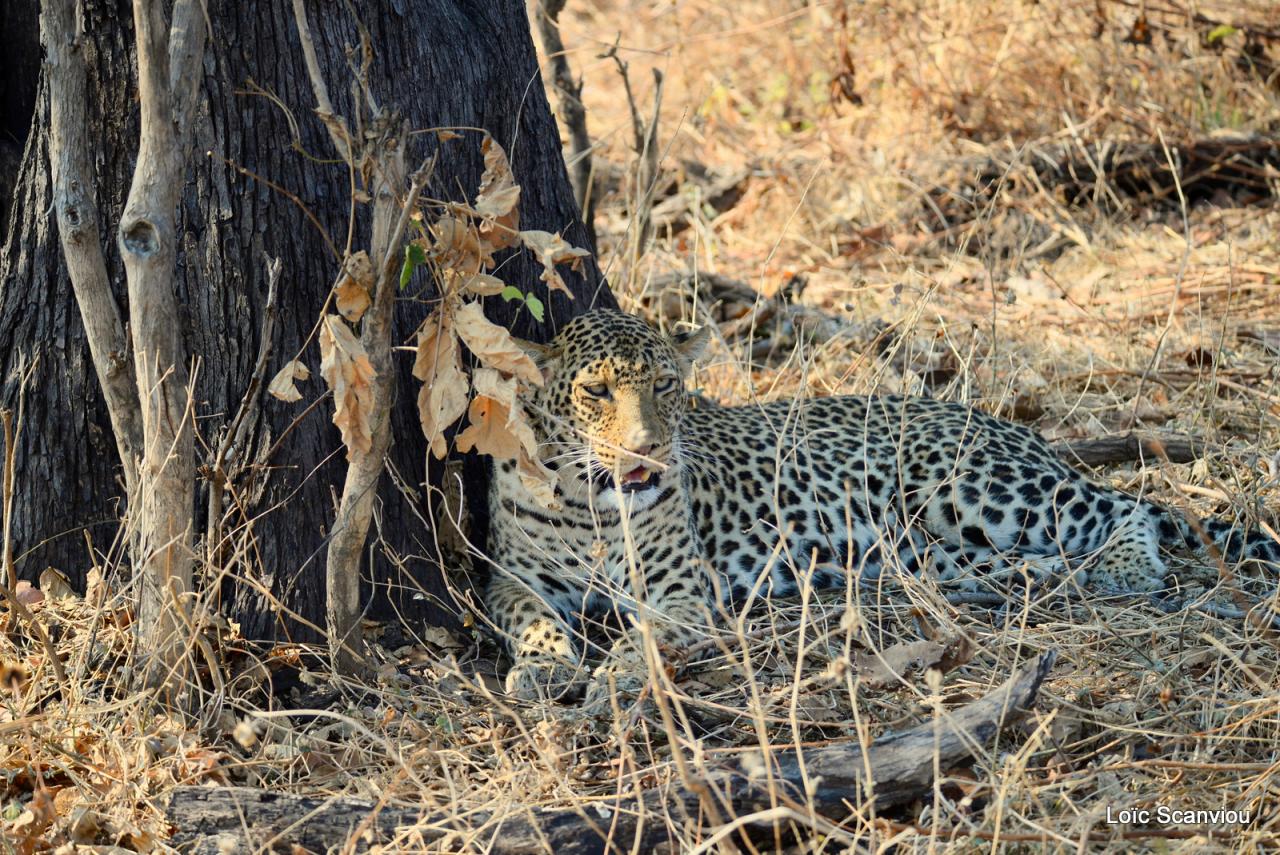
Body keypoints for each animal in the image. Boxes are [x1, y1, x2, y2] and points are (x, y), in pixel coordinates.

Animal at [481, 307, 1280, 701]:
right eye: (596, 391)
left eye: (666, 386)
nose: (647, 451)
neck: (588, 501)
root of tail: (1011, 424)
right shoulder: (509, 579)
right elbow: (531, 620)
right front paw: (545, 669)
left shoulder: (681, 591)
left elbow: (641, 636)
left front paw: (615, 675)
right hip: (933, 547)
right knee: (1018, 562)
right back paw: (1039, 580)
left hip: (973, 488)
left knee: (1129, 505)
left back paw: (1123, 570)